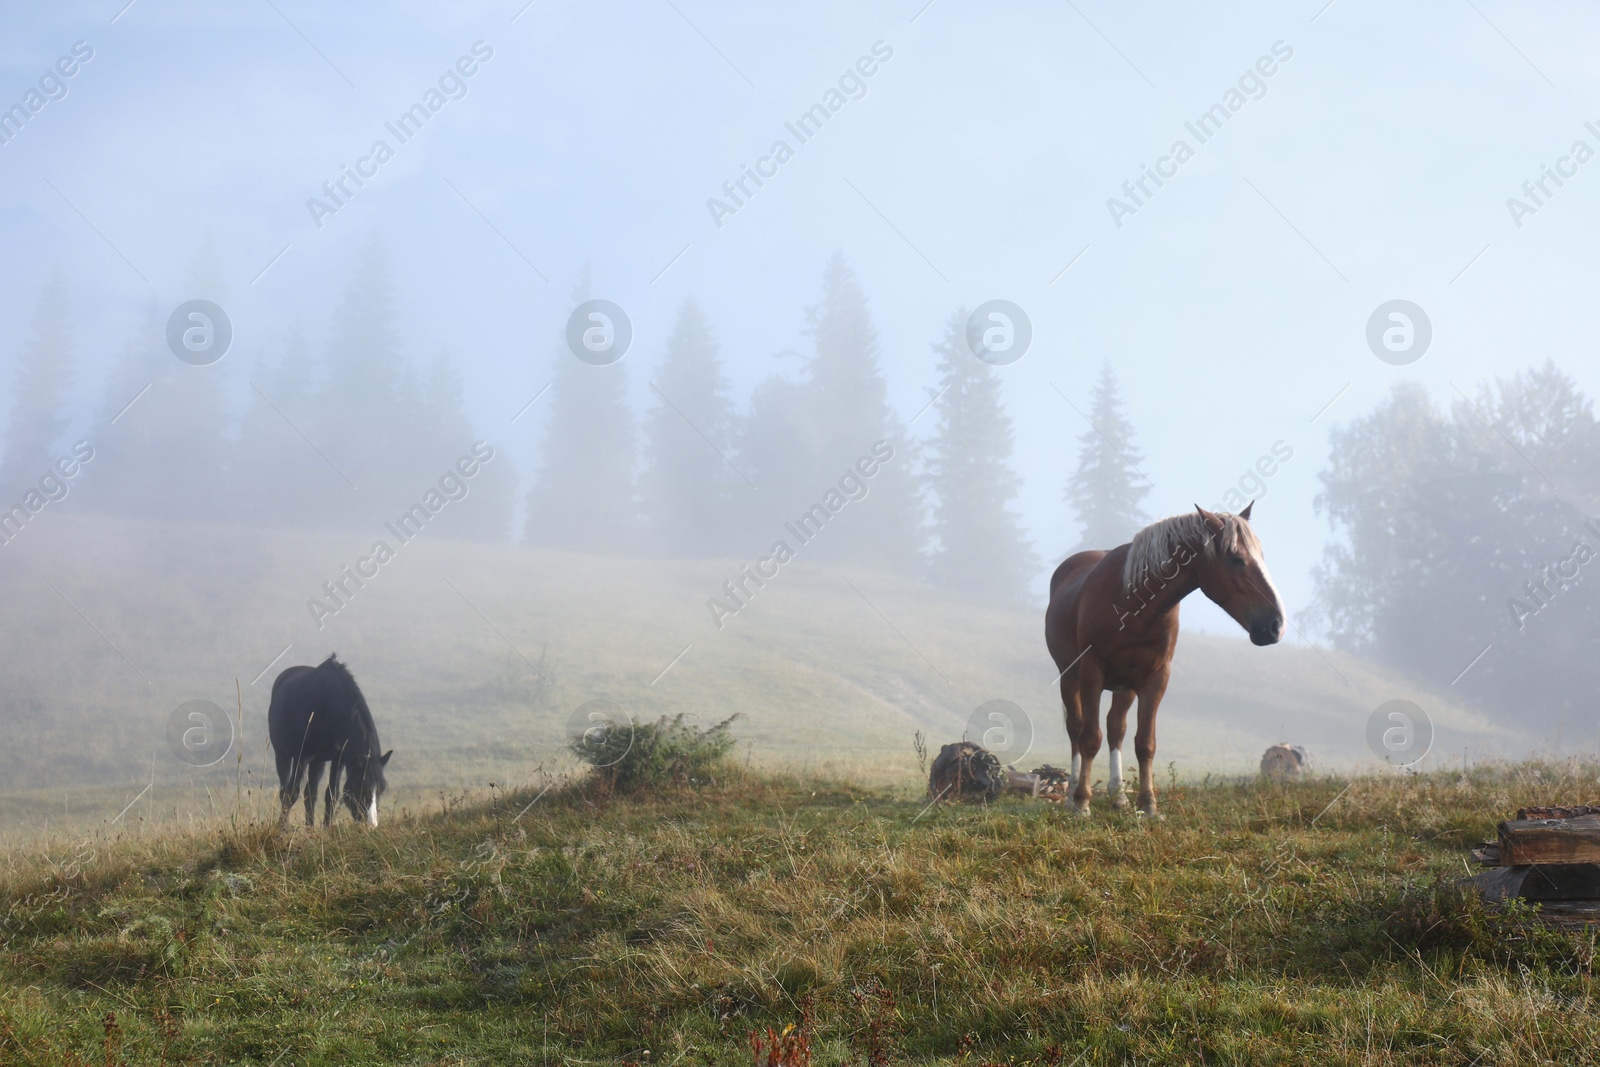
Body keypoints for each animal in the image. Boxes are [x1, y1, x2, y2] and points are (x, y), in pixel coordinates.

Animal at [267, 655, 392, 831]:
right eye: (360, 787)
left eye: (381, 788)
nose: (371, 825)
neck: (328, 704)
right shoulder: (302, 756)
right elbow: (291, 793)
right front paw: (281, 829)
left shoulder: (339, 758)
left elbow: (331, 794)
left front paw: (326, 828)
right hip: (282, 755)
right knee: (285, 789)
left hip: (318, 762)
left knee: (310, 794)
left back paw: (310, 828)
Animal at [1049, 505, 1286, 812]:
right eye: (1236, 558)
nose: (1275, 625)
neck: (1132, 602)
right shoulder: (1092, 673)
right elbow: (1090, 738)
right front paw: (1081, 803)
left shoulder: (1155, 677)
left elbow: (1145, 743)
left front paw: (1148, 804)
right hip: (1070, 678)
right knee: (1076, 729)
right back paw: (1072, 796)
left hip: (1124, 687)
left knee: (1116, 728)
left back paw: (1119, 795)